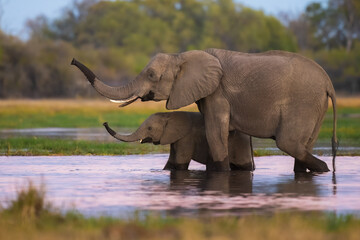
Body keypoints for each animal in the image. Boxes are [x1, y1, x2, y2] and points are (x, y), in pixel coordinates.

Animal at [102, 111, 255, 172]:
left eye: (150, 128)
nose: (104, 122)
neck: (168, 115)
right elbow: (171, 162)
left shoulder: (186, 138)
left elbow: (180, 163)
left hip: (239, 143)